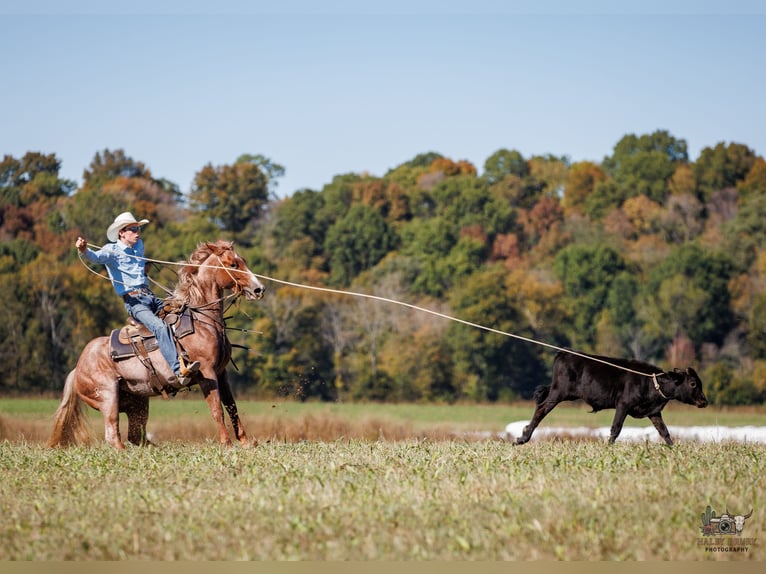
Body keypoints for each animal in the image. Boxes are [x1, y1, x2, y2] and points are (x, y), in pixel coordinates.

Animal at [48, 240, 266, 449]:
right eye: (233, 264)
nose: (259, 289)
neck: (203, 321)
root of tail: (77, 368)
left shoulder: (221, 373)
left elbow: (232, 407)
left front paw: (246, 442)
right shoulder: (207, 372)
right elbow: (217, 409)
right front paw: (226, 444)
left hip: (137, 401)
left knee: (135, 435)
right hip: (108, 396)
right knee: (113, 434)